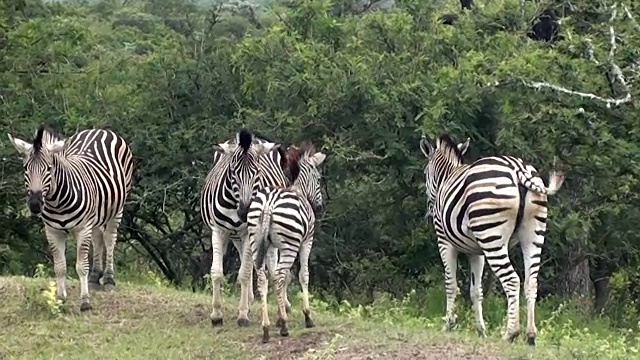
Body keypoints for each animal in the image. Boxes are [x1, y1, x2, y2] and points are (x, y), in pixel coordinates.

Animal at [7, 125, 135, 310]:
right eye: (25, 169)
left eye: (49, 169)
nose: (35, 204)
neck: (57, 202)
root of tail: (99, 130)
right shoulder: (52, 232)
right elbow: (60, 266)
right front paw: (60, 299)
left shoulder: (83, 229)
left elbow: (81, 266)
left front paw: (85, 301)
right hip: (96, 216)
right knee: (98, 238)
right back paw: (95, 277)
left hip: (117, 208)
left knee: (110, 239)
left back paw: (109, 279)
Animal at [200, 128, 292, 328]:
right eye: (233, 172)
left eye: (257, 172)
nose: (244, 211)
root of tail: (259, 141)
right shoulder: (218, 230)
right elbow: (217, 272)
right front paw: (216, 314)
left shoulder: (247, 232)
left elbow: (243, 273)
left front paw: (242, 315)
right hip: (236, 237)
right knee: (249, 263)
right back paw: (249, 301)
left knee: (270, 266)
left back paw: (283, 306)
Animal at [244, 141, 328, 344]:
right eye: (319, 179)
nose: (320, 206)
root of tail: (268, 204)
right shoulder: (306, 241)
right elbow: (303, 275)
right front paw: (307, 316)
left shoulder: (272, 246)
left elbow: (277, 276)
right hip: (291, 246)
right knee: (281, 275)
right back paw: (283, 326)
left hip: (255, 240)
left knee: (263, 279)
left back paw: (266, 328)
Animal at [420, 134, 564, 346]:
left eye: (425, 173)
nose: (429, 213)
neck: (447, 177)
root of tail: (517, 169)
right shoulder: (476, 252)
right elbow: (475, 290)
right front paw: (481, 330)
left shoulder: (445, 243)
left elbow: (451, 285)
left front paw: (448, 325)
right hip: (533, 234)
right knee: (531, 282)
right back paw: (530, 335)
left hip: (492, 238)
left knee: (512, 280)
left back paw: (510, 333)